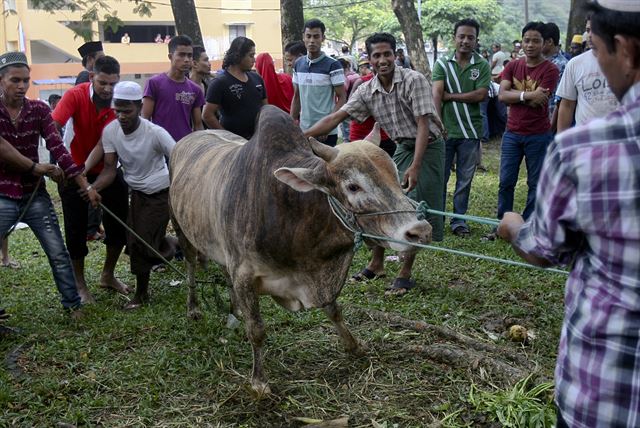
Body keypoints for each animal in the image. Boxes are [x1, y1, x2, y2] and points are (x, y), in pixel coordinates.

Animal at [169, 106, 430, 394]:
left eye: (396, 175)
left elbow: (333, 309)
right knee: (191, 266)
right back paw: (194, 307)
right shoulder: (245, 274)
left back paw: (234, 310)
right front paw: (259, 382)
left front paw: (354, 345)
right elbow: (256, 329)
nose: (420, 231)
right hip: (182, 230)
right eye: (353, 186)